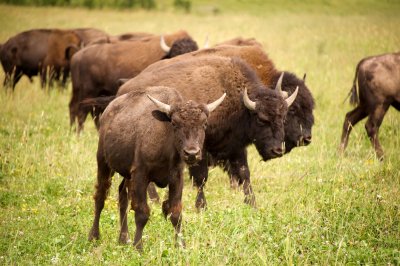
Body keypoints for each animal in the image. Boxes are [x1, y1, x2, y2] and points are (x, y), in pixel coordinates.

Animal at [70, 30, 198, 133]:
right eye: (175, 53)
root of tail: (78, 55)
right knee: (81, 112)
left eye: (194, 50)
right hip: (87, 91)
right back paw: (79, 133)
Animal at [87, 86, 225, 250]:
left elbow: (176, 213)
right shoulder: (141, 176)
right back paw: (94, 236)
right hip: (103, 163)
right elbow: (142, 212)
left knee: (122, 196)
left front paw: (180, 245)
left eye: (204, 124)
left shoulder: (176, 178)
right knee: (100, 196)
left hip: (126, 174)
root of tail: (108, 110)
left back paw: (123, 238)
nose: (192, 153)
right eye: (174, 123)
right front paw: (138, 247)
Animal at [114, 55, 298, 208]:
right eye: (261, 119)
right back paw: (154, 200)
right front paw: (201, 206)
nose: (277, 150)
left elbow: (244, 173)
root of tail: (121, 91)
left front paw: (252, 204)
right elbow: (201, 177)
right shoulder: (201, 149)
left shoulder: (236, 147)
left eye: (283, 118)